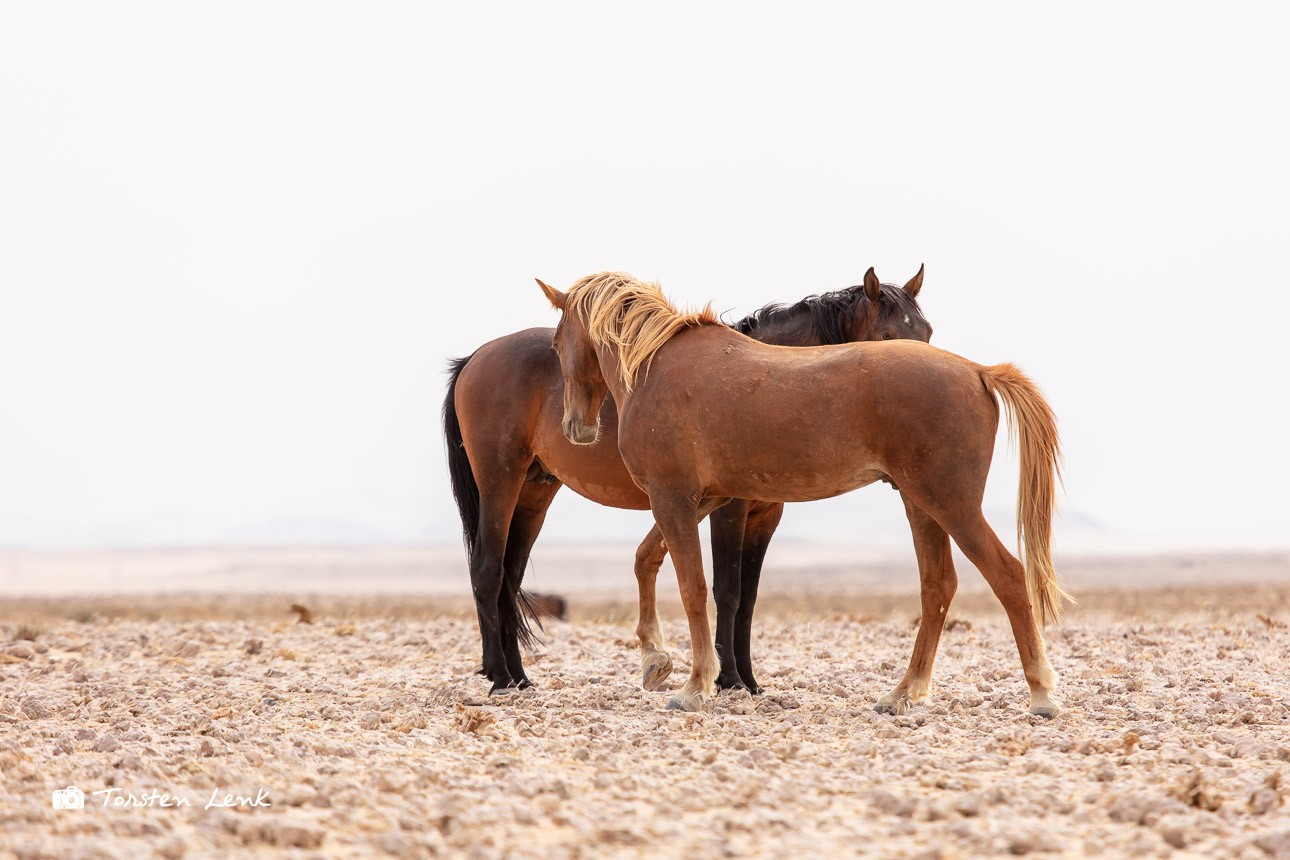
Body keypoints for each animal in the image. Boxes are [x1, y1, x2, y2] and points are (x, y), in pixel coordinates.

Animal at [443, 269, 928, 691]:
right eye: (889, 336)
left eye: (926, 333)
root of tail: (476, 357)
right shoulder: (729, 509)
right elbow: (727, 590)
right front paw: (730, 679)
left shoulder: (764, 516)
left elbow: (749, 597)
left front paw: (748, 679)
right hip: (500, 481)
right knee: (487, 569)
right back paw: (501, 675)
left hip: (534, 492)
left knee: (508, 577)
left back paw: (516, 675)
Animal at [539, 272, 1073, 716]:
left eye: (557, 341)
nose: (577, 427)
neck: (655, 366)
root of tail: (978, 371)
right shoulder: (708, 501)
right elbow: (650, 561)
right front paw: (658, 660)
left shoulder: (674, 499)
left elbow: (693, 588)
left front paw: (696, 686)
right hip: (920, 504)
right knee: (938, 585)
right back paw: (903, 693)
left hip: (951, 504)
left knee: (1008, 577)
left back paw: (1041, 695)